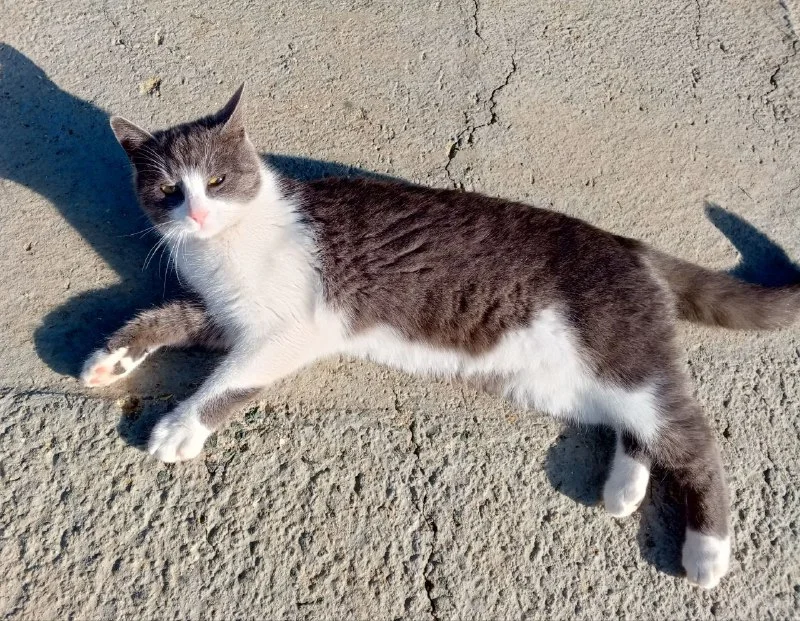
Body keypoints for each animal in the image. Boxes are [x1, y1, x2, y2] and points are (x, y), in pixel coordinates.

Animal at [82, 85, 800, 589]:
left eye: (218, 180)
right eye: (168, 189)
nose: (198, 213)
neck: (228, 245)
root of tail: (629, 245)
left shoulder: (291, 331)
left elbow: (231, 380)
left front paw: (181, 426)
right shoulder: (228, 316)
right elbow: (172, 317)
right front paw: (111, 356)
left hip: (616, 351)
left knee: (692, 435)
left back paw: (708, 550)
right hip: (559, 379)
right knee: (638, 426)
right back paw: (624, 486)